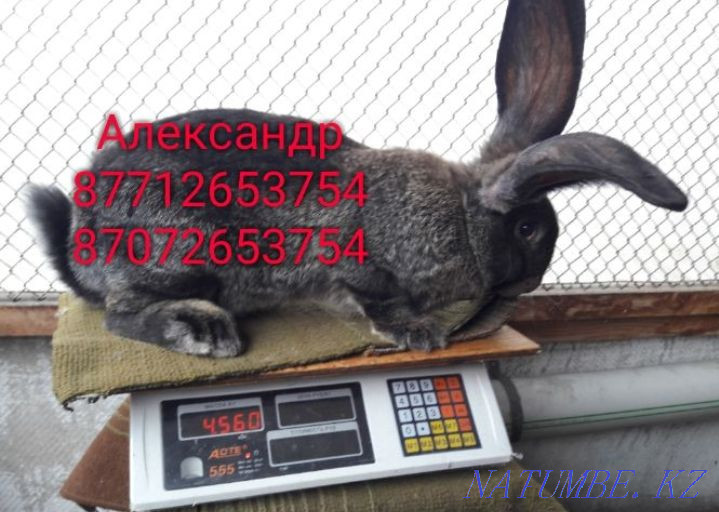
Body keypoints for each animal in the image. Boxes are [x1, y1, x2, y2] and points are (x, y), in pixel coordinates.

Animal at [27, 0, 687, 358]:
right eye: (528, 230)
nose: (529, 285)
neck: (458, 211)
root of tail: (78, 237)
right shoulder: (355, 257)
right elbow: (376, 297)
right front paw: (418, 333)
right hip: (183, 246)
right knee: (117, 314)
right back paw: (202, 330)